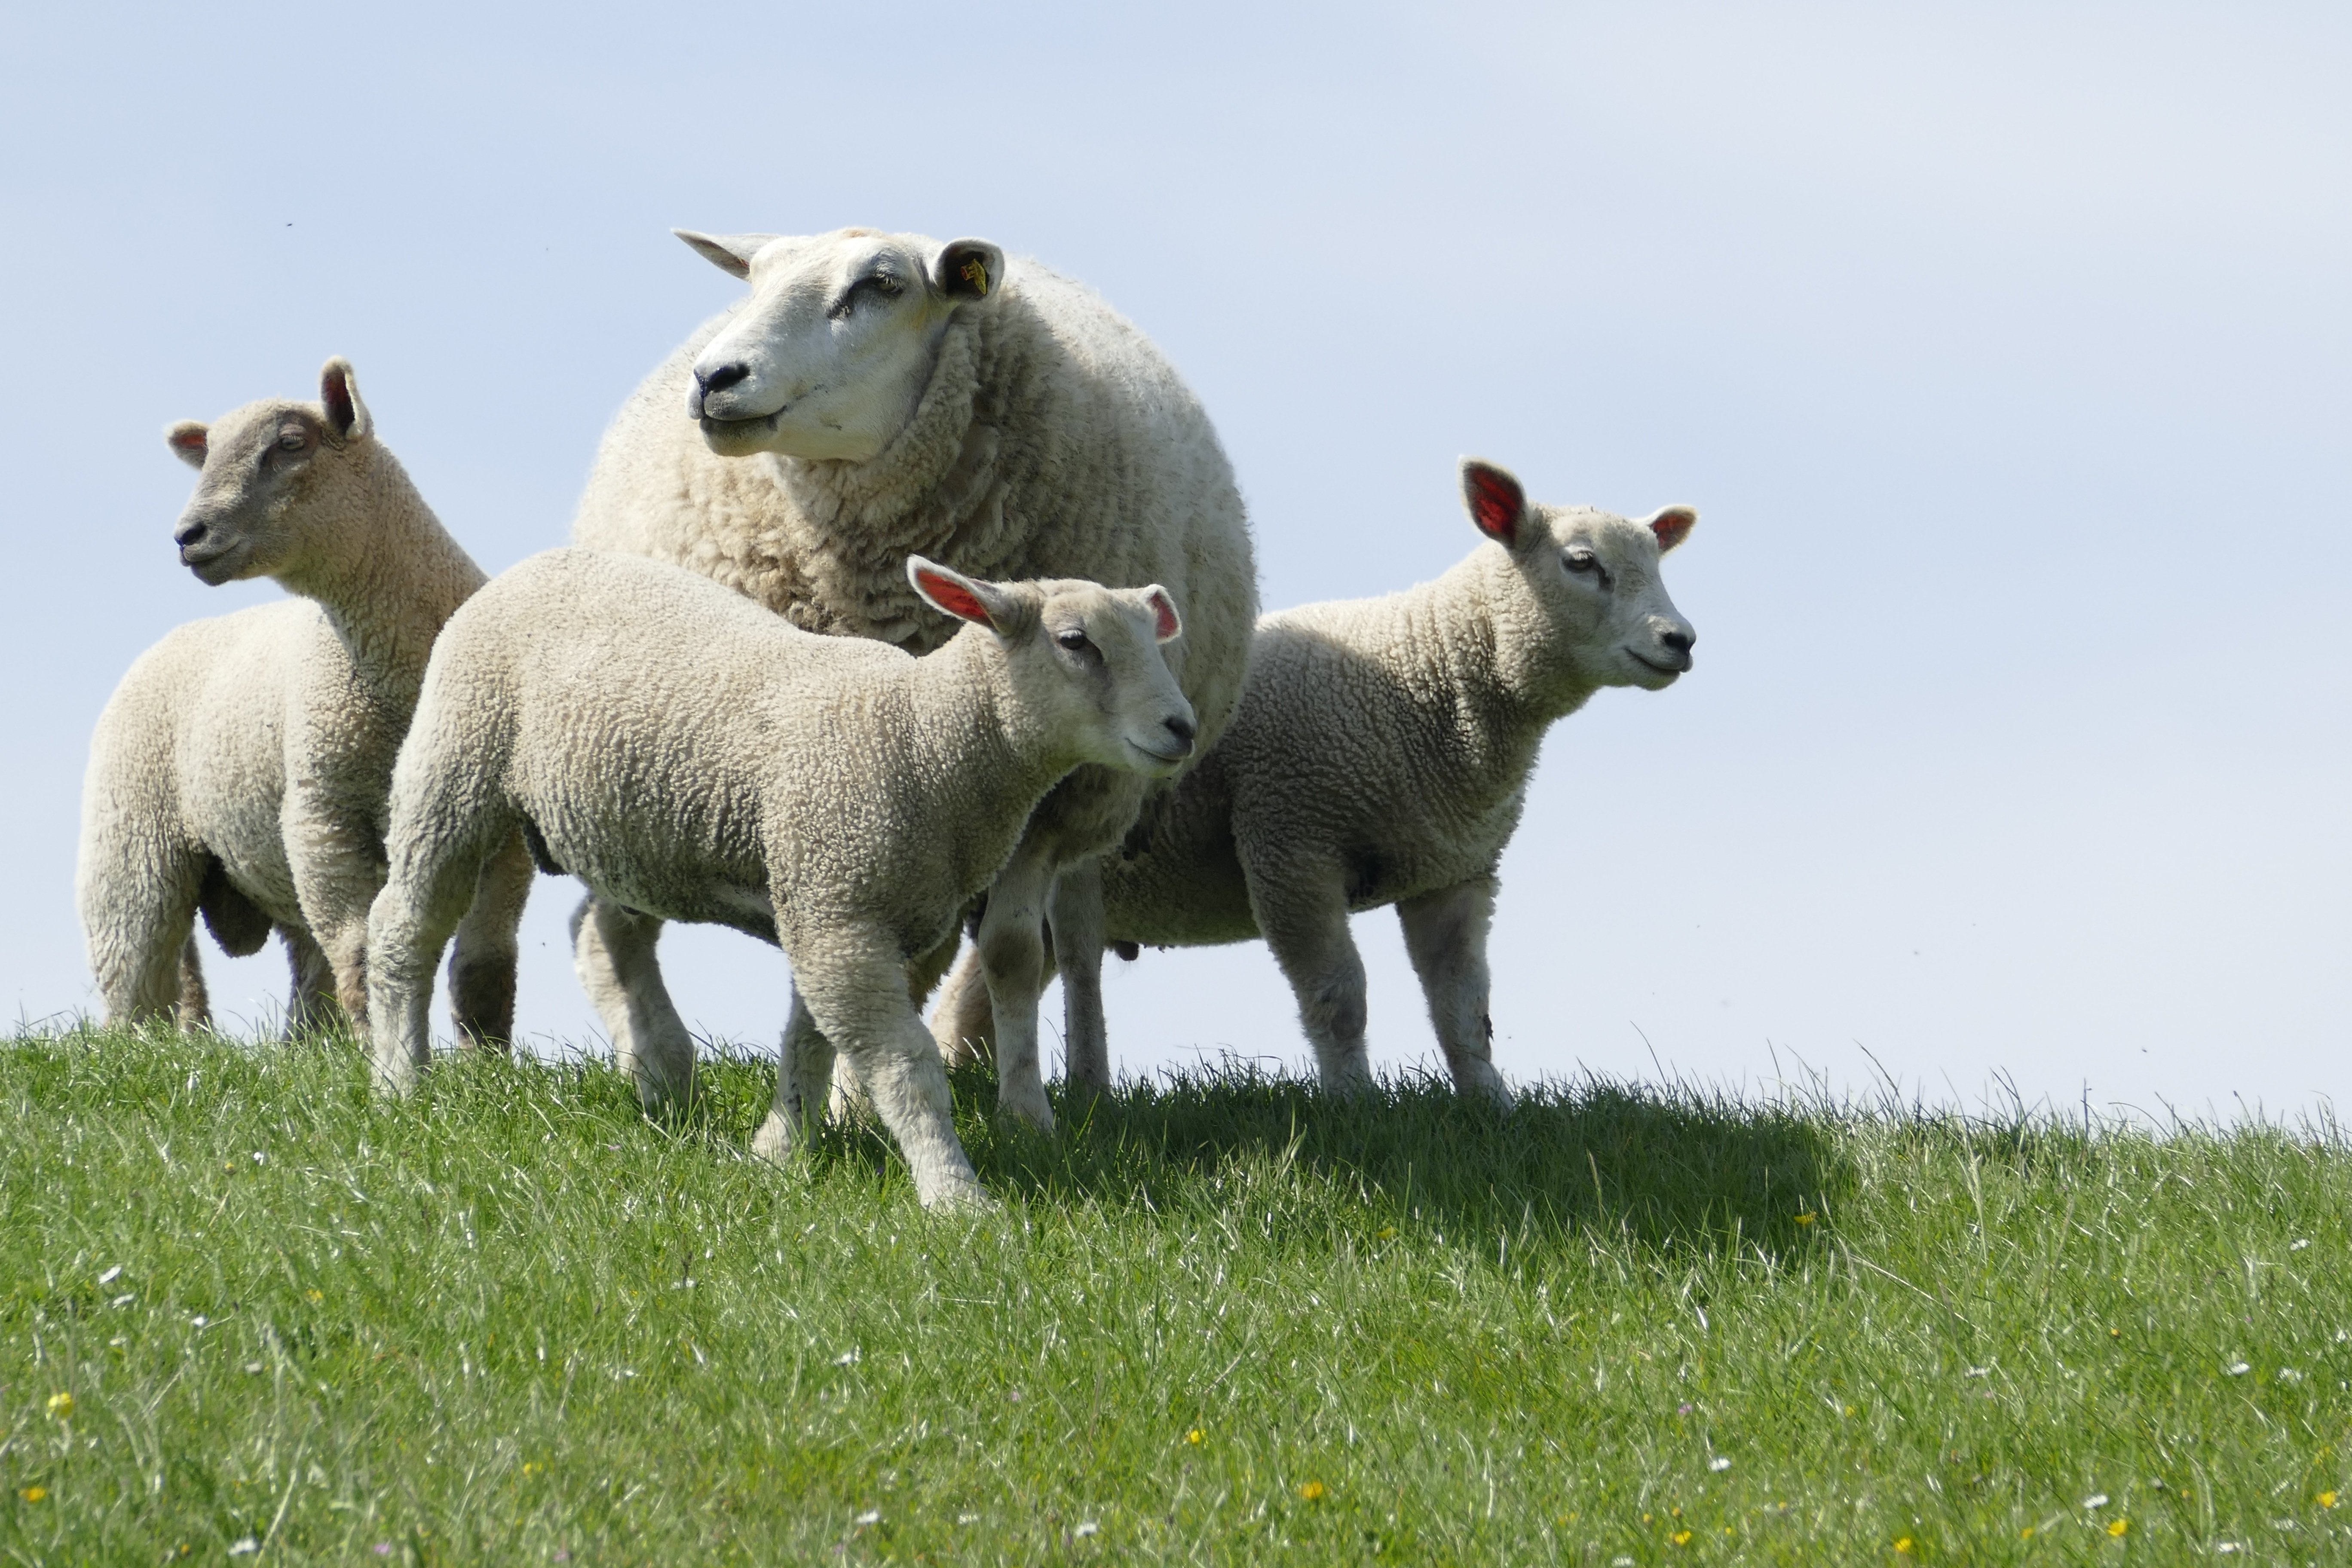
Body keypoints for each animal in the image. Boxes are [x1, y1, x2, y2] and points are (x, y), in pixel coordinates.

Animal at [76, 359, 533, 1041]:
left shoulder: (503, 833)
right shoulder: (323, 812)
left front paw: (486, 1059)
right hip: (132, 843)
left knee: (302, 979)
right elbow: (362, 952)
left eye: (291, 444)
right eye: (208, 454)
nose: (188, 535)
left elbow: (486, 969)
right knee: (134, 974)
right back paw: (140, 1052)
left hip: (269, 866)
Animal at [362, 548, 1194, 1207]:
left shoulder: (824, 899)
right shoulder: (840, 911)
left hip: (621, 830)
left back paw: (664, 1079)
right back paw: (400, 1082)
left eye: (1157, 641)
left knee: (605, 932)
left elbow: (808, 1043)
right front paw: (955, 1196)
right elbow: (906, 1066)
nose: (1181, 728)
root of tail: (534, 562)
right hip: (456, 762)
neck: (927, 739)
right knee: (405, 927)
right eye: (1075, 642)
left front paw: (778, 1152)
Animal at [568, 226, 1256, 1128]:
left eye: (882, 286)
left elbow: (1011, 952)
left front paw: (1026, 1115)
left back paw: (1079, 1085)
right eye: (753, 280)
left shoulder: (1046, 803)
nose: (716, 378)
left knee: (1066, 942)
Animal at [932, 459, 1698, 1107]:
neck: (1429, 672)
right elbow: (1339, 996)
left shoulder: (1455, 872)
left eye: (1657, 563)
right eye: (1582, 563)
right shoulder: (1291, 839)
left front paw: (1492, 1110)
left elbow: (1464, 1009)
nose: (1681, 640)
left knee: (976, 1001)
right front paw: (1355, 1108)